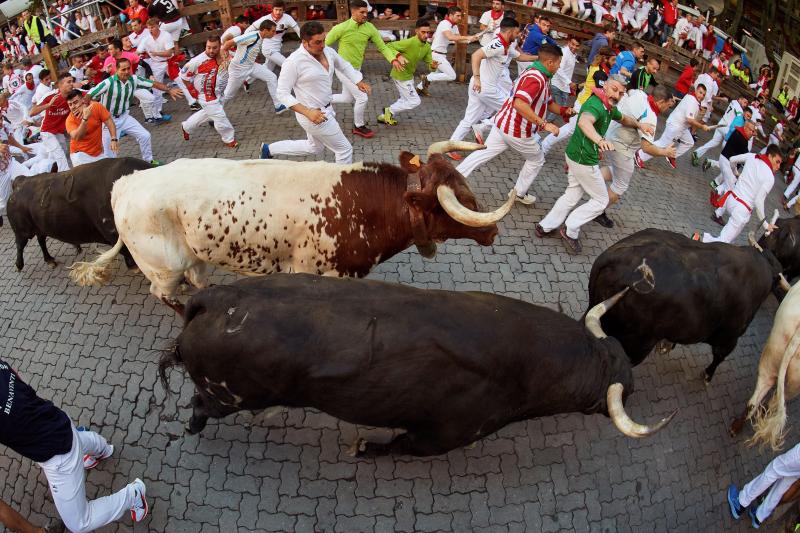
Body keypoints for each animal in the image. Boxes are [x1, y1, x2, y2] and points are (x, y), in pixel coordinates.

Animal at [5, 156, 152, 268]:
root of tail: (20, 182)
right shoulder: (115, 237)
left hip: (41, 227)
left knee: (41, 240)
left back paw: (49, 259)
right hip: (22, 231)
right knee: (20, 244)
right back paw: (19, 265)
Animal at [72, 142, 516, 312]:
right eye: (462, 202)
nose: (492, 232)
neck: (364, 205)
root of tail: (126, 183)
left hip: (195, 254)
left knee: (196, 279)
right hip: (163, 266)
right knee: (162, 292)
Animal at [588, 229, 788, 382]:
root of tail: (617, 256)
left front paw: (667, 345)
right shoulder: (730, 338)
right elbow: (719, 357)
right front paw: (707, 375)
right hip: (634, 344)